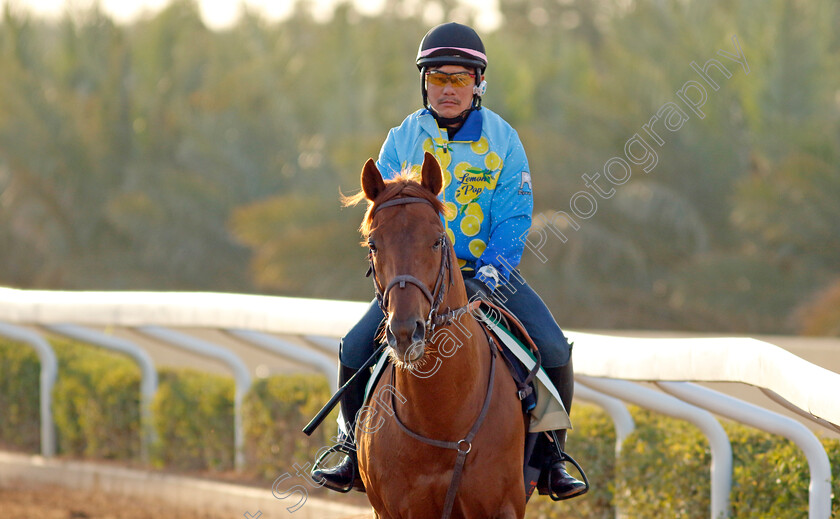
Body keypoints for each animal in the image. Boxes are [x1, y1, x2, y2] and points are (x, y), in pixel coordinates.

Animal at [348, 153, 524, 519]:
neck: (442, 421)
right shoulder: (394, 510)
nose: (404, 331)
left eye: (437, 240)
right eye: (373, 244)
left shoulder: (503, 507)